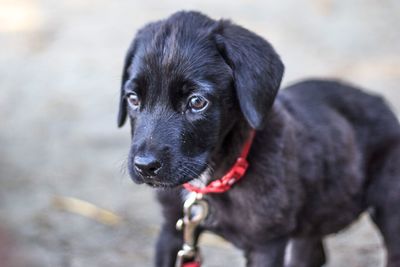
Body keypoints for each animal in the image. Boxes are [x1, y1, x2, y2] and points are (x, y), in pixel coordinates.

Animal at [118, 10, 400, 267]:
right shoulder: (172, 230)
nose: (145, 166)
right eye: (133, 98)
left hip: (389, 203)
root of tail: (380, 102)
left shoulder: (267, 244)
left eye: (197, 102)